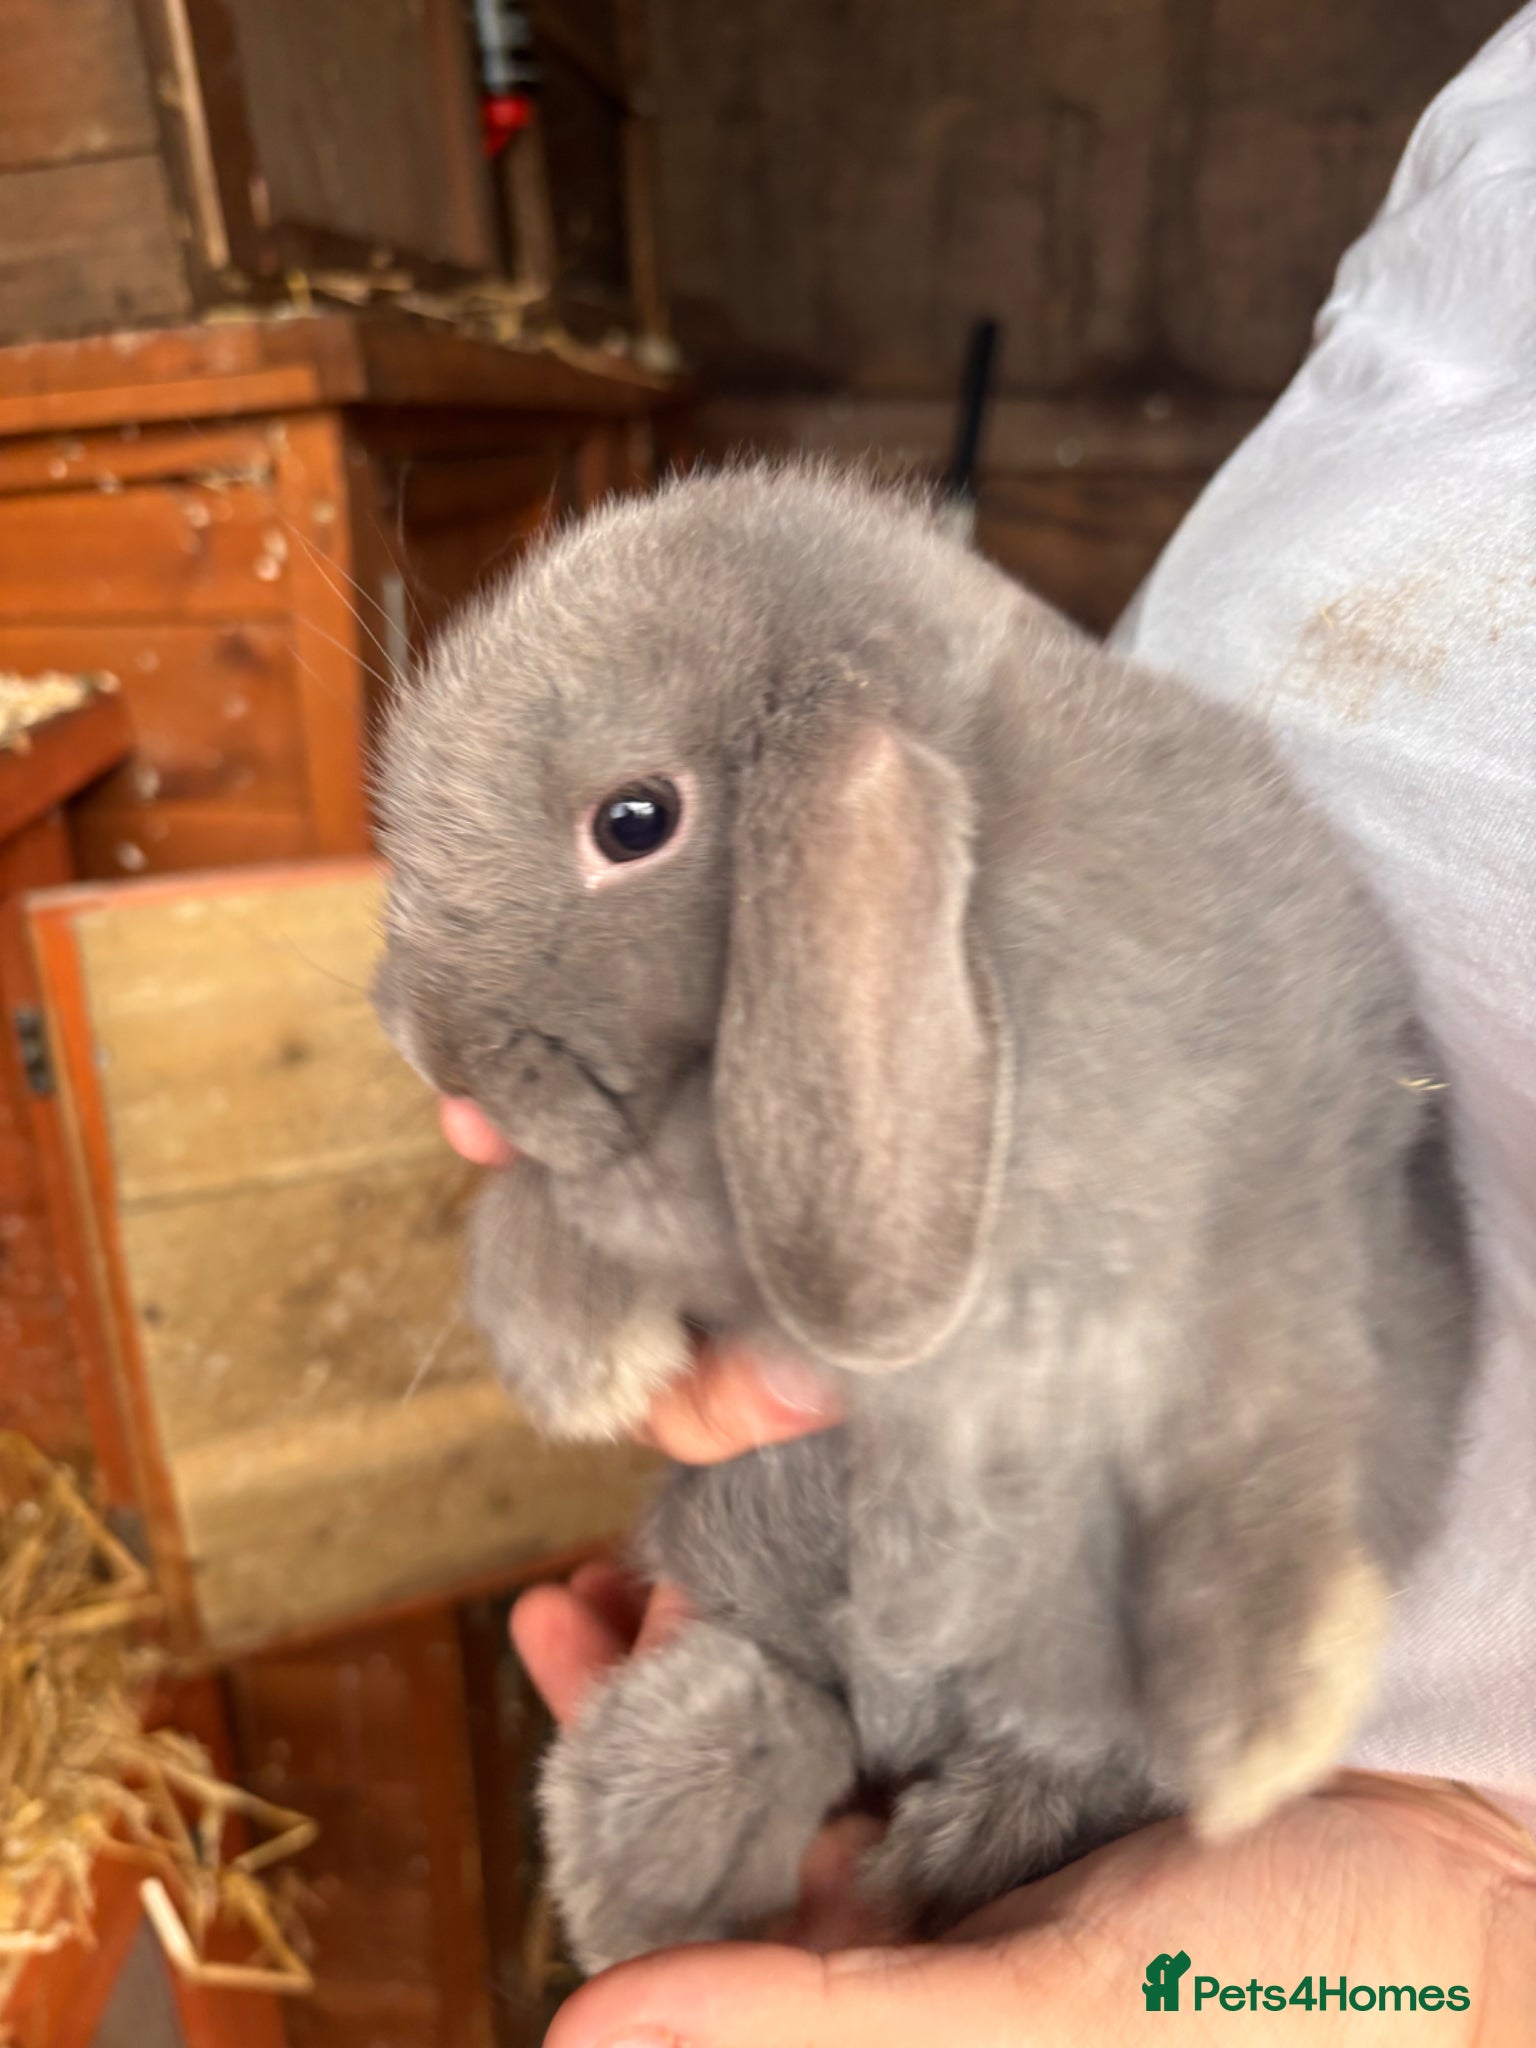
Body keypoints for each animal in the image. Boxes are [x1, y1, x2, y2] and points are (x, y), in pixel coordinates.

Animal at [372, 462, 1474, 1975]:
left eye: (634, 821)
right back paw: (654, 1898)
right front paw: (588, 1367)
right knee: (770, 1705)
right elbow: (578, 1198)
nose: (432, 1052)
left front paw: (1271, 1729)